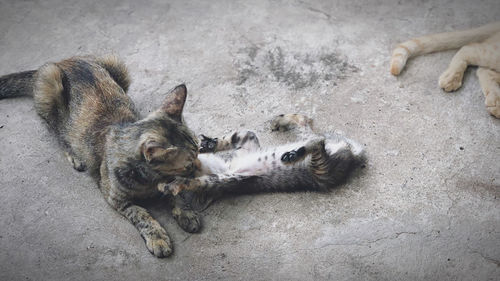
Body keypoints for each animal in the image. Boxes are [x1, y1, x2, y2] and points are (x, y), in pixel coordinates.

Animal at [1, 55, 203, 258]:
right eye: (187, 165)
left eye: (199, 151)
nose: (199, 170)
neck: (150, 180)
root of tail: (64, 60)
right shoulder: (117, 200)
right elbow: (141, 214)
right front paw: (157, 237)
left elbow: (177, 195)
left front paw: (186, 213)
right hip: (51, 82)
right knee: (55, 129)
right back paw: (73, 154)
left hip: (117, 66)